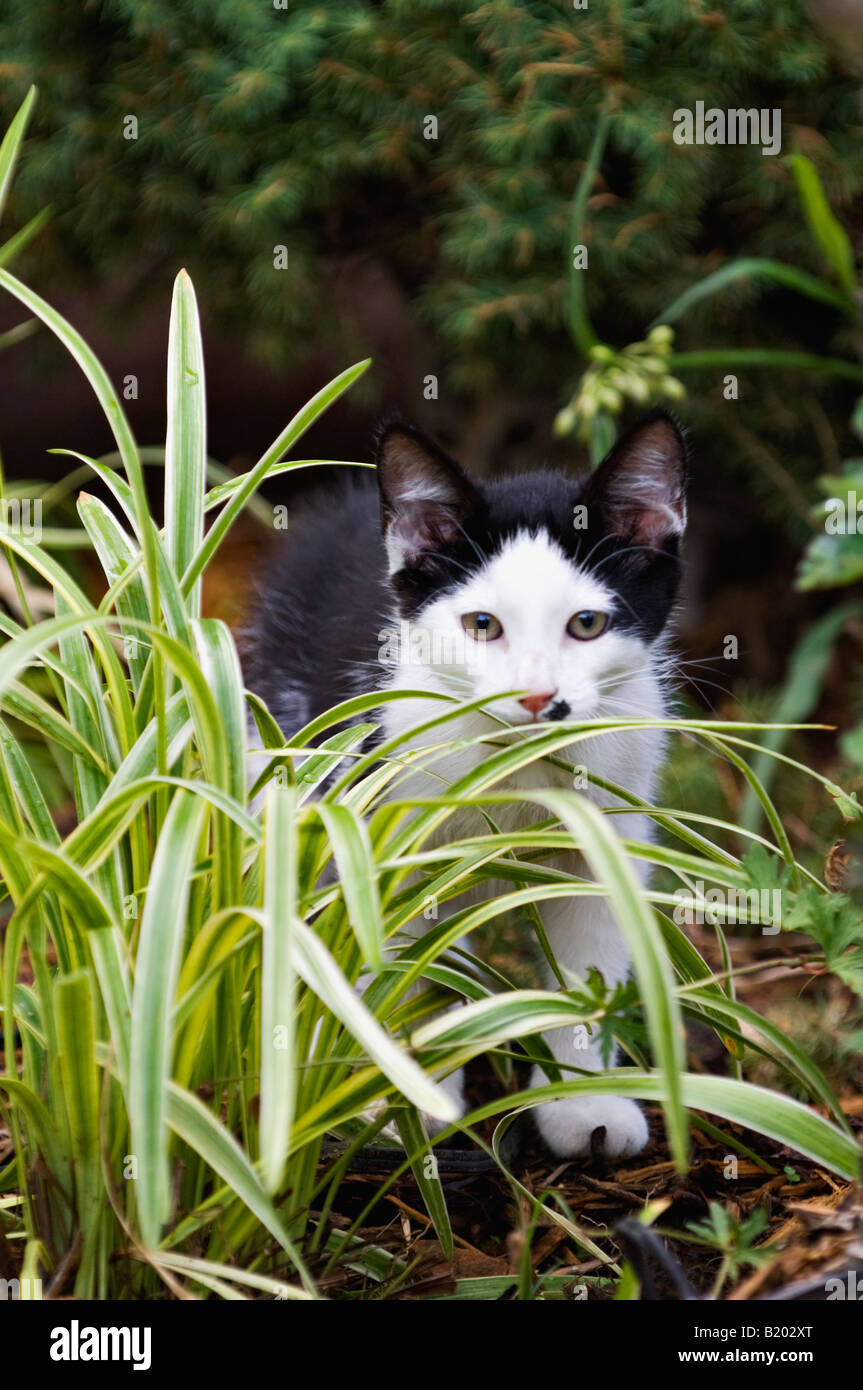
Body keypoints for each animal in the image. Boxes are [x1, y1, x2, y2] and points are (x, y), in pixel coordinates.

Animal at [244, 405, 686, 1156]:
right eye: (482, 625)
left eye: (587, 624)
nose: (539, 697)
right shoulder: (384, 819)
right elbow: (404, 962)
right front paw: (408, 1099)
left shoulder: (610, 824)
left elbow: (589, 962)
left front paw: (585, 1103)